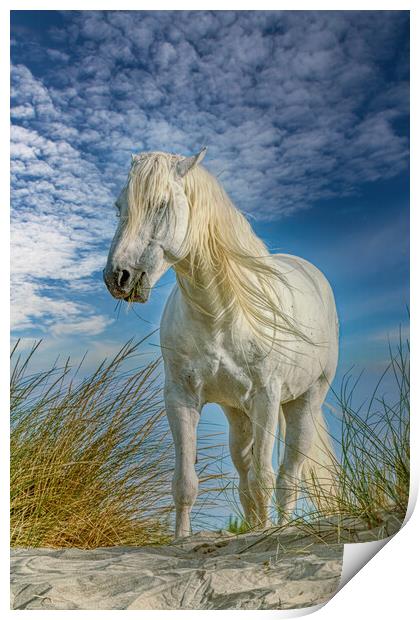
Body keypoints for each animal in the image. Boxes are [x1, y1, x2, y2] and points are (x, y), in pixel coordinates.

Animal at [104, 149, 338, 536]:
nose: (117, 277)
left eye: (161, 204)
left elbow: (264, 479)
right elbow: (185, 483)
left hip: (304, 401)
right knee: (245, 478)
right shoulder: (181, 398)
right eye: (119, 205)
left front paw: (263, 536)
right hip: (238, 414)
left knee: (287, 478)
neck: (220, 314)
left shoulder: (266, 397)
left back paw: (281, 528)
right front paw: (181, 540)